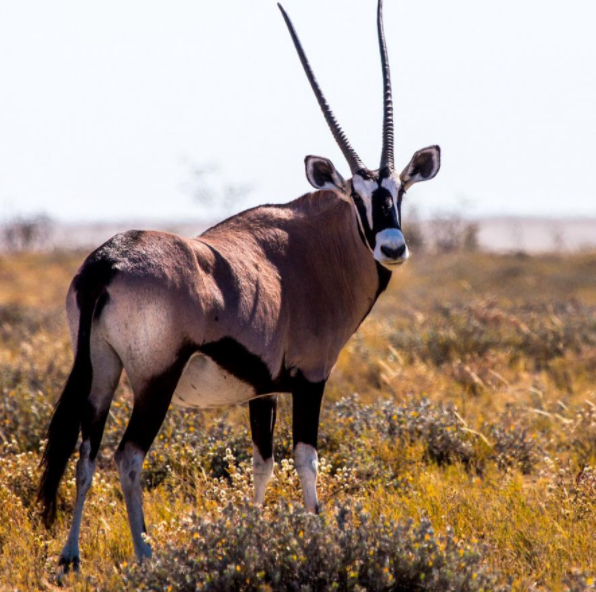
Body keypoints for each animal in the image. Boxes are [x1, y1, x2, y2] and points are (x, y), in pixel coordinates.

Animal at [37, 0, 438, 568]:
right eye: (356, 196)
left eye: (398, 190)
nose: (392, 247)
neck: (308, 250)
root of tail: (109, 260)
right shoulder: (311, 380)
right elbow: (306, 460)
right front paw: (316, 535)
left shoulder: (262, 391)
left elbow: (262, 463)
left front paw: (254, 532)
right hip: (155, 379)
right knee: (128, 456)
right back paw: (146, 554)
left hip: (101, 372)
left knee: (86, 452)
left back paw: (71, 554)